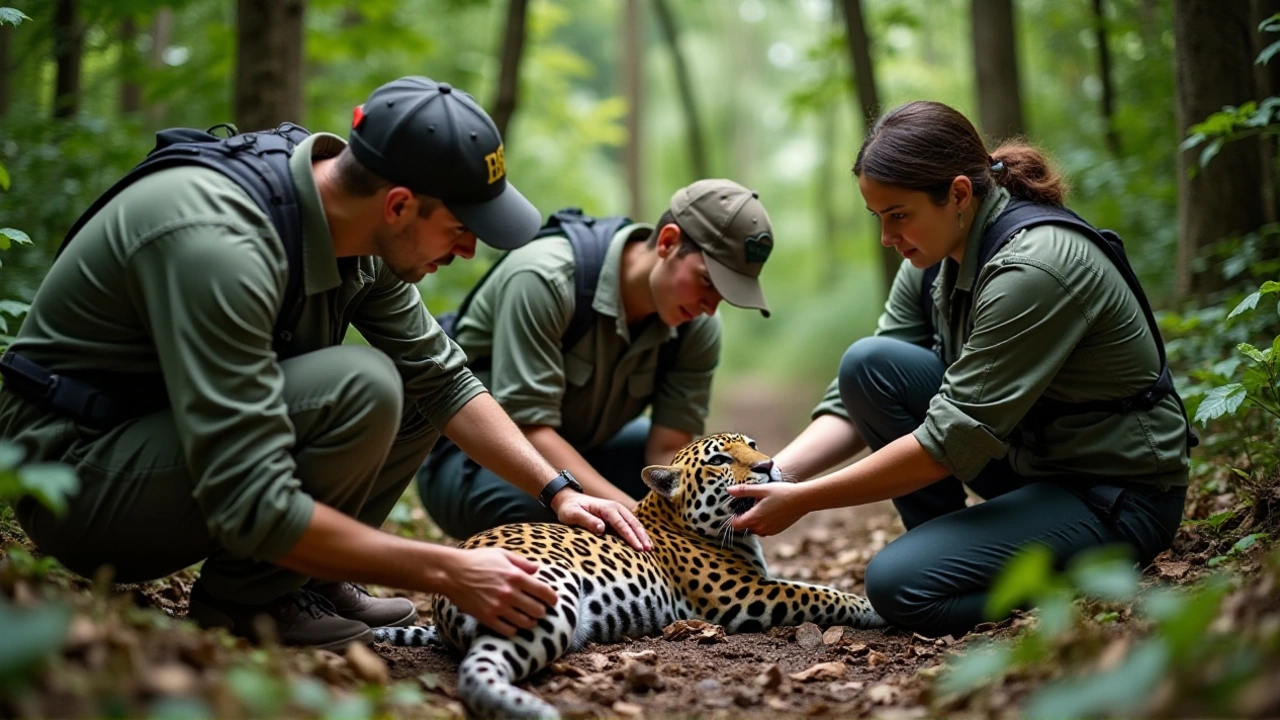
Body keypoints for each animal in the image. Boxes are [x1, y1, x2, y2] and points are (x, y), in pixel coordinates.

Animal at [373, 430, 885, 717]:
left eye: (754, 447)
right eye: (720, 460)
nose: (769, 465)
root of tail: (440, 599)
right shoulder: (742, 595)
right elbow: (817, 591)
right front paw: (868, 606)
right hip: (542, 595)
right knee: (481, 665)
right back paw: (528, 709)